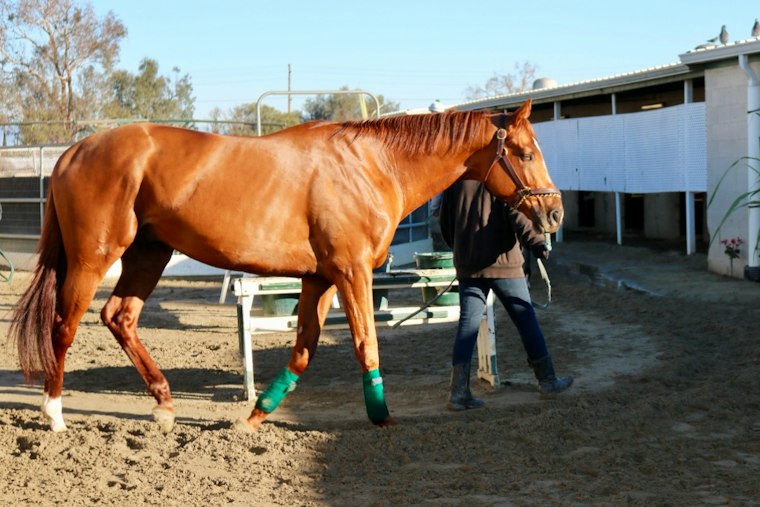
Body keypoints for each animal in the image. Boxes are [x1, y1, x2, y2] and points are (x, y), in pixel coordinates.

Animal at [8, 99, 563, 433]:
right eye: (525, 152)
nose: (554, 213)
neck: (371, 165)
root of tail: (74, 151)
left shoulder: (319, 278)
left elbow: (303, 351)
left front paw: (255, 415)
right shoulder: (352, 272)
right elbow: (365, 342)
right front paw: (381, 415)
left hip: (149, 253)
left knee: (119, 317)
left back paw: (164, 404)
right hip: (94, 256)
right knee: (64, 325)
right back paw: (53, 414)